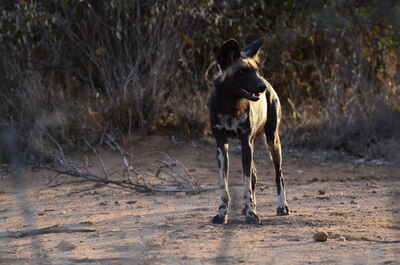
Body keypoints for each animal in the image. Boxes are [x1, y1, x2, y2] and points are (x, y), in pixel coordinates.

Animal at [208, 38, 290, 223]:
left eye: (256, 71)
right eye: (242, 72)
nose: (262, 87)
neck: (231, 104)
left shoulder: (246, 143)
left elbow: (246, 185)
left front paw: (251, 213)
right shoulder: (221, 145)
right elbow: (224, 186)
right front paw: (222, 213)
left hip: (272, 142)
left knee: (278, 176)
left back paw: (281, 206)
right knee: (254, 175)